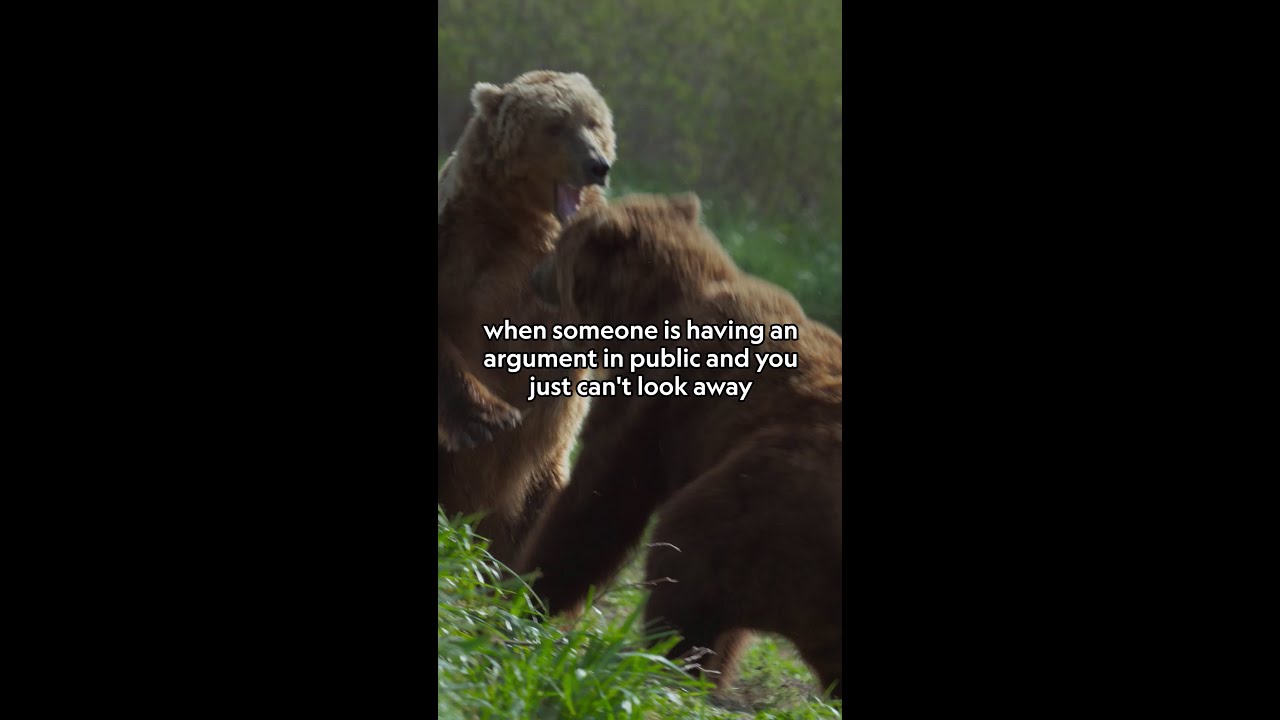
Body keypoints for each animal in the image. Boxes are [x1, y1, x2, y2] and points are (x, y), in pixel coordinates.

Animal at [437, 71, 618, 566]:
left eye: (594, 122)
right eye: (556, 124)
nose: (597, 165)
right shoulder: (459, 242)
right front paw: (488, 418)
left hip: (546, 473)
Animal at [515, 193, 843, 699]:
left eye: (561, 242)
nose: (535, 272)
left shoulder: (654, 406)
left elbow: (597, 507)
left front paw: (527, 594)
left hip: (769, 498)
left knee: (686, 558)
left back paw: (660, 669)